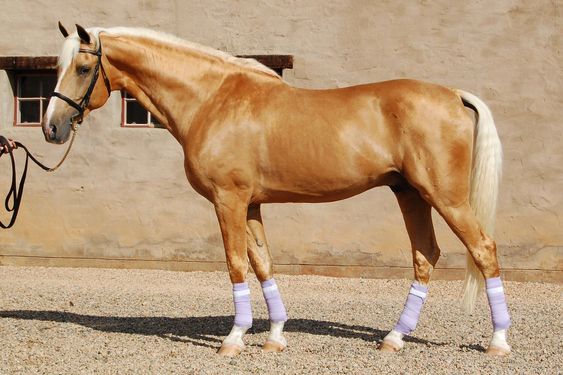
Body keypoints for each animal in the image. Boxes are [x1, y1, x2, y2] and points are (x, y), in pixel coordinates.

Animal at [43, 25, 512, 356]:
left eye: (82, 68)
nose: (52, 128)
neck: (211, 99)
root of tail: (453, 95)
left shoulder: (228, 200)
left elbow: (236, 264)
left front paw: (233, 339)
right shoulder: (250, 204)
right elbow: (263, 263)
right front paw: (274, 336)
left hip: (445, 197)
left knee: (483, 250)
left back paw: (498, 343)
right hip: (410, 194)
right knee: (425, 256)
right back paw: (393, 338)